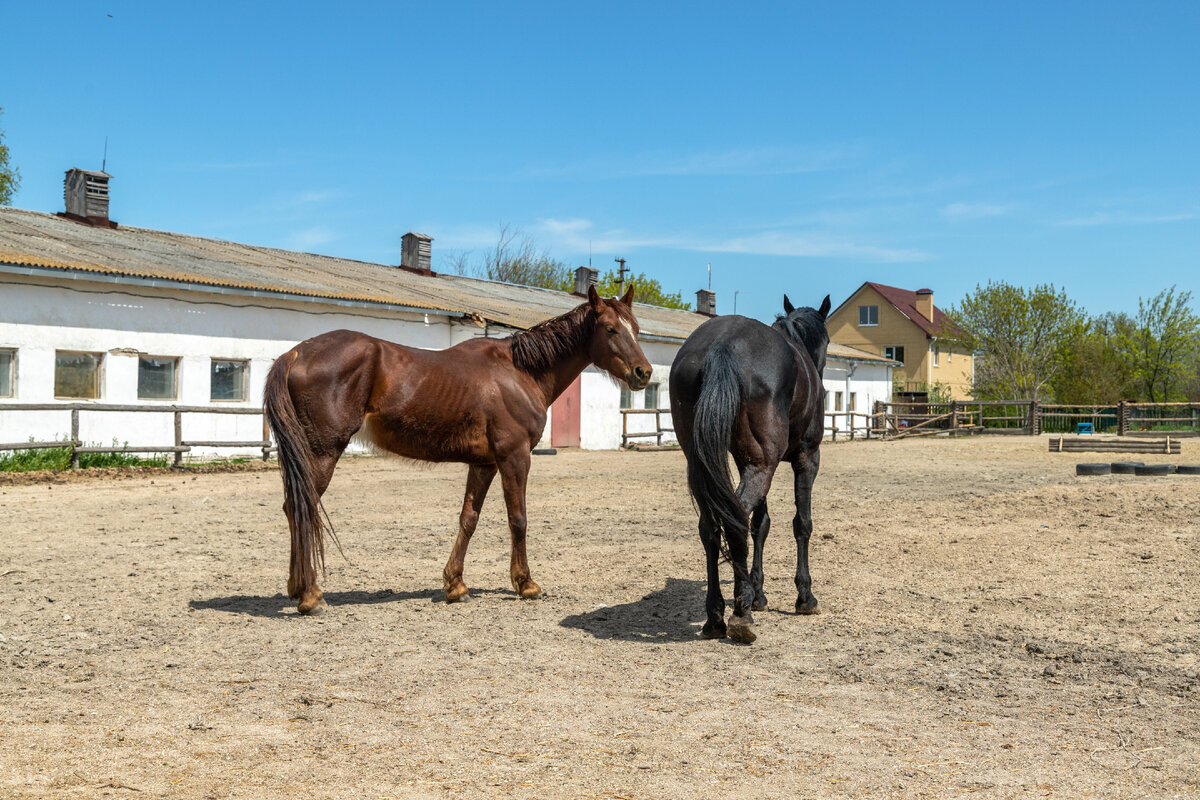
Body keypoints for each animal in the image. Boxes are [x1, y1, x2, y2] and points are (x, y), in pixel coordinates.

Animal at [267, 286, 652, 614]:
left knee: (293, 508)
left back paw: (297, 588)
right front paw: (525, 583)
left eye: (635, 328)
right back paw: (311, 595)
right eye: (610, 329)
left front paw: (455, 585)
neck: (519, 372)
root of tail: (297, 352)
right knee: (302, 508)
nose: (643, 372)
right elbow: (518, 519)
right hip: (323, 453)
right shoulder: (514, 457)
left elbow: (469, 519)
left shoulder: (484, 464)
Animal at [672, 293, 830, 642]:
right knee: (734, 521)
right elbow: (802, 523)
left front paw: (759, 592)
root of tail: (722, 344)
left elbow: (761, 524)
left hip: (712, 465)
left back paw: (716, 615)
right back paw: (740, 613)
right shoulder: (807, 457)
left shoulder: (745, 461)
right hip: (764, 465)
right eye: (827, 339)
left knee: (712, 526)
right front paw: (805, 596)